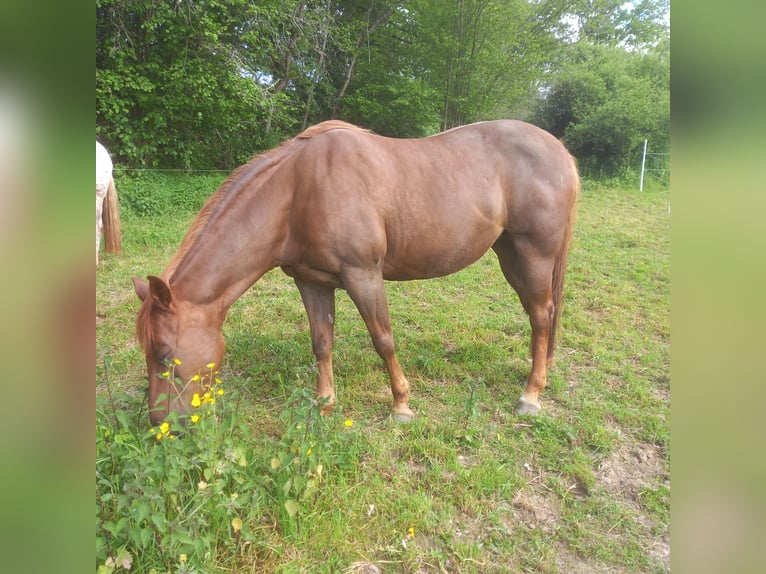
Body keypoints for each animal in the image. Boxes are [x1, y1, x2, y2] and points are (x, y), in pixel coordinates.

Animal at [132, 121, 580, 428]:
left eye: (165, 355)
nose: (160, 424)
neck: (298, 191)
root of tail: (560, 152)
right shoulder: (311, 280)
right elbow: (322, 342)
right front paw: (325, 403)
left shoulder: (362, 274)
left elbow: (383, 338)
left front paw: (401, 405)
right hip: (510, 256)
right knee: (540, 316)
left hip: (534, 255)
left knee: (542, 315)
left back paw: (530, 396)